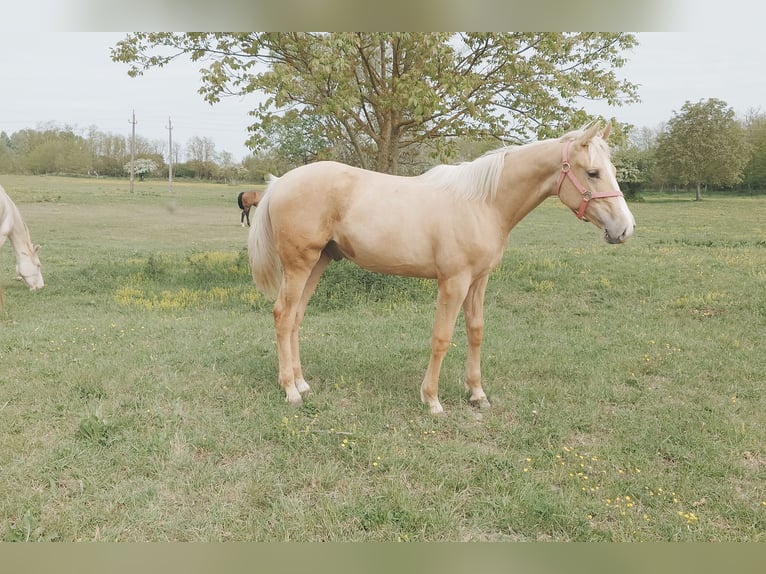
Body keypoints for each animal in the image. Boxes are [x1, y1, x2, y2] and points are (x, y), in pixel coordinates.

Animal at [248, 121, 635, 414]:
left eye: (613, 171)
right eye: (593, 172)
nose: (625, 229)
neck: (483, 203)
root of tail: (280, 183)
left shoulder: (479, 281)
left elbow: (476, 332)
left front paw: (477, 394)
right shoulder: (454, 282)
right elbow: (442, 337)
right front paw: (432, 400)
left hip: (318, 262)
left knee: (296, 317)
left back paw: (302, 383)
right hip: (299, 264)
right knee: (283, 315)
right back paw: (290, 391)